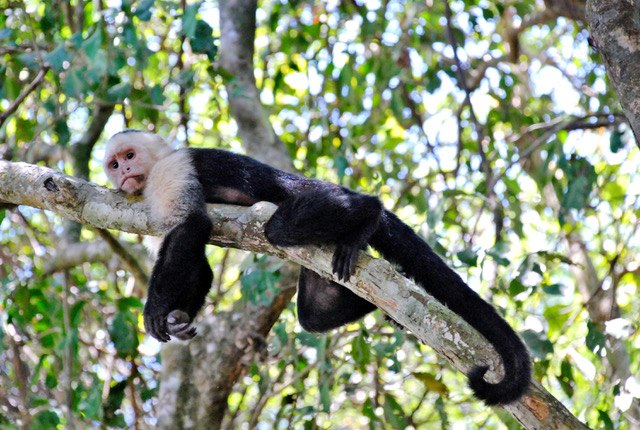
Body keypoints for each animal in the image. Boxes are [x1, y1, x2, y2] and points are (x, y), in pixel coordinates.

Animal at [104, 129, 528, 404]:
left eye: (130, 156)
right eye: (113, 163)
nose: (122, 172)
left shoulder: (171, 172)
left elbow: (193, 225)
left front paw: (155, 312)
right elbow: (196, 257)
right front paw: (177, 318)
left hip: (318, 192)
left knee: (283, 223)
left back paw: (368, 214)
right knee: (314, 314)